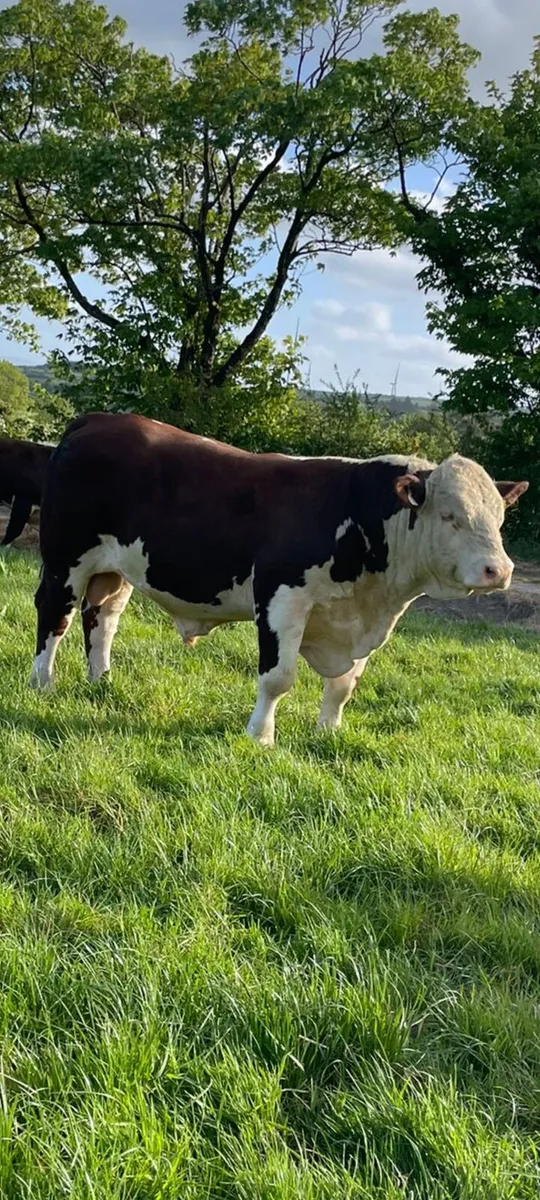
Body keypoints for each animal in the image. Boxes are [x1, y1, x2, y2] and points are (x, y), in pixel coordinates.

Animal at [31, 412, 528, 745]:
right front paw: (260, 737)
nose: (499, 570)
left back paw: (102, 681)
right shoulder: (281, 599)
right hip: (65, 559)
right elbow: (278, 678)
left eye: (499, 517)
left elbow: (344, 686)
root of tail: (99, 420)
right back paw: (43, 682)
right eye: (450, 516)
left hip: (116, 570)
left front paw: (328, 732)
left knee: (102, 619)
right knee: (56, 615)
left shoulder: (360, 621)